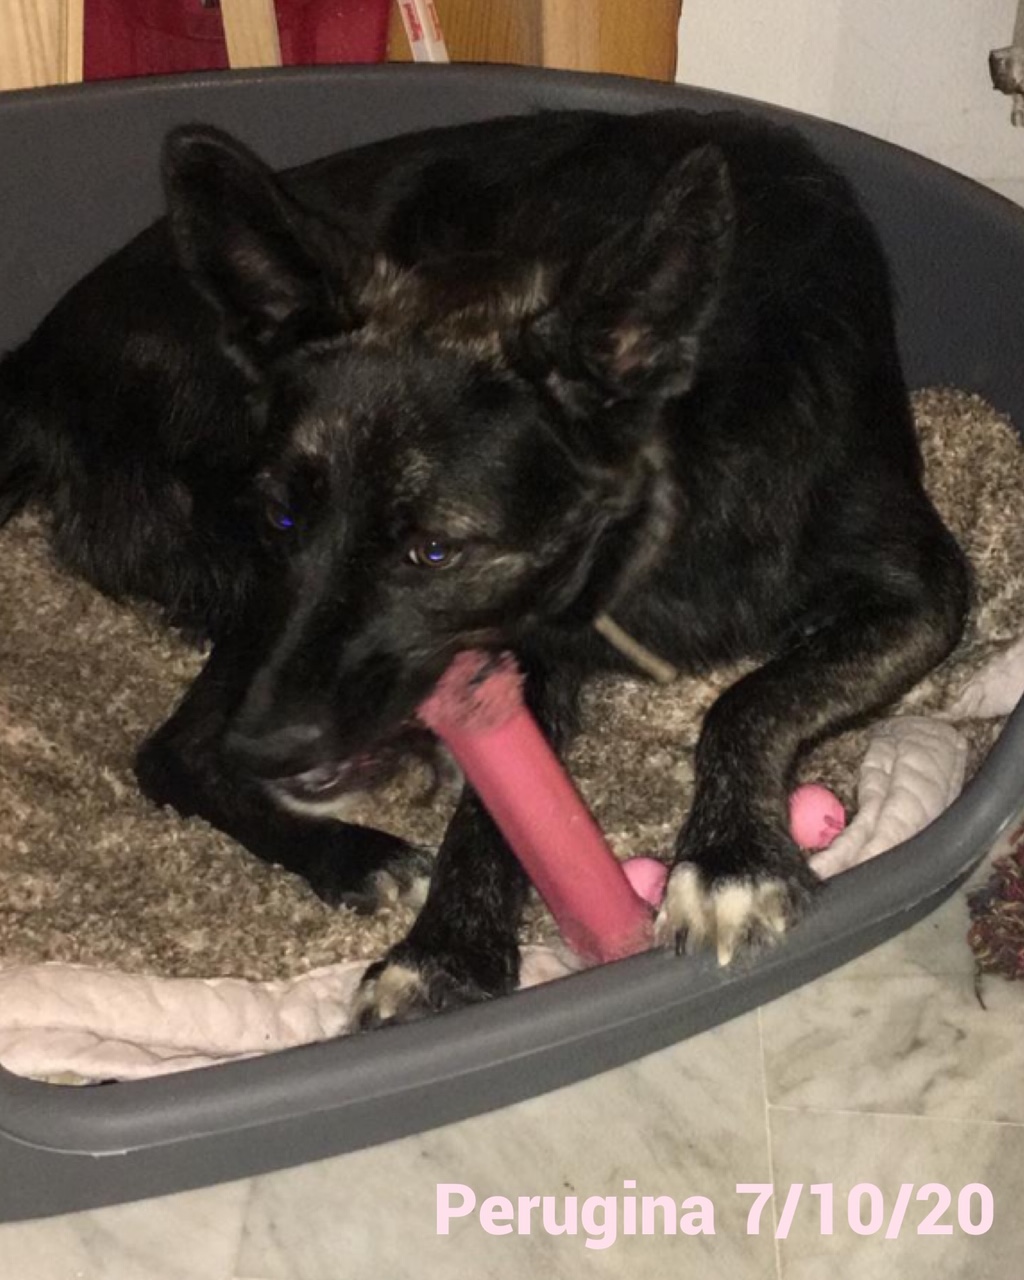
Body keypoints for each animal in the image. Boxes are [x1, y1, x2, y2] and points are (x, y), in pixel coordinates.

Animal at [0, 108, 968, 1025]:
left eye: (433, 550)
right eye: (283, 516)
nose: (262, 748)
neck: (662, 496)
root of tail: (35, 365)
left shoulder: (923, 591)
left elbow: (749, 699)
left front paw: (728, 858)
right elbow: (492, 808)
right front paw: (446, 953)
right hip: (245, 584)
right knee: (170, 751)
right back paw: (349, 850)